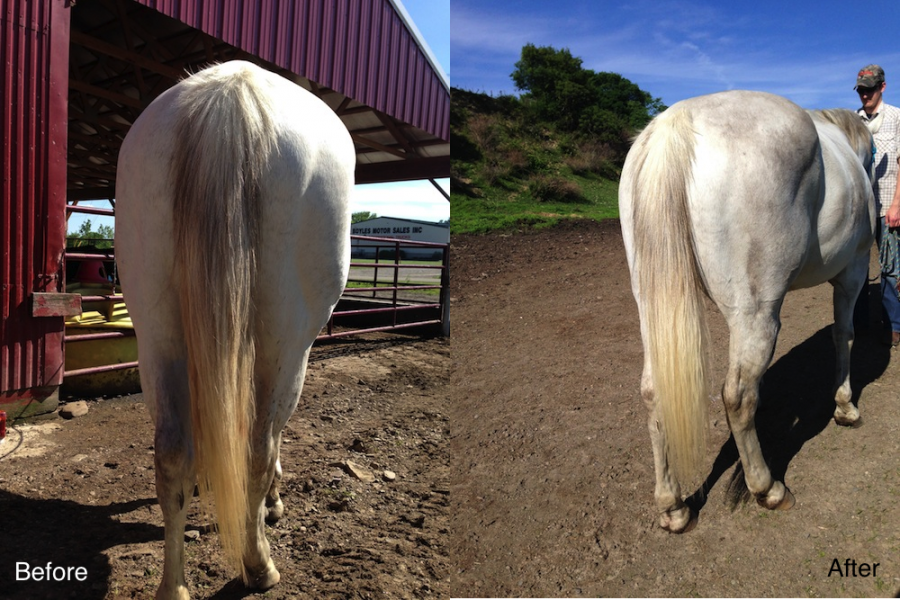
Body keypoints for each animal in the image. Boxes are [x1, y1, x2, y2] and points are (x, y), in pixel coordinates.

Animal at [115, 61, 354, 598]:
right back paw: (259, 566)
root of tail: (230, 96)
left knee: (172, 452)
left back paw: (174, 587)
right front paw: (274, 505)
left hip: (157, 337)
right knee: (257, 449)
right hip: (288, 345)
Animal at [618, 90, 875, 533]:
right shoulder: (853, 273)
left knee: (654, 392)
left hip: (652, 308)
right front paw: (845, 406)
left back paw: (673, 507)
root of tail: (676, 121)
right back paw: (767, 488)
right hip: (755, 312)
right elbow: (844, 334)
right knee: (737, 397)